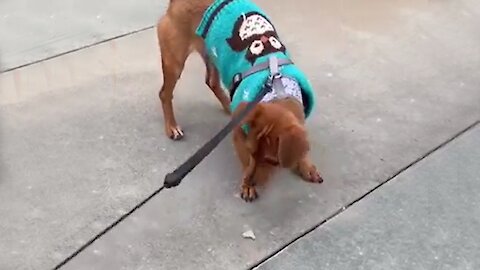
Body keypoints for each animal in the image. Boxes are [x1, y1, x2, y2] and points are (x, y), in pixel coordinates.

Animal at [158, 0, 322, 200]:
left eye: (272, 162)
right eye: (249, 152)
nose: (252, 181)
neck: (277, 88)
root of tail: (174, 3)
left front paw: (306, 165)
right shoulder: (239, 137)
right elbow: (245, 163)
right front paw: (247, 185)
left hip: (212, 55)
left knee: (211, 82)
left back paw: (229, 107)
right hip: (174, 60)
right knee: (165, 94)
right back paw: (172, 127)